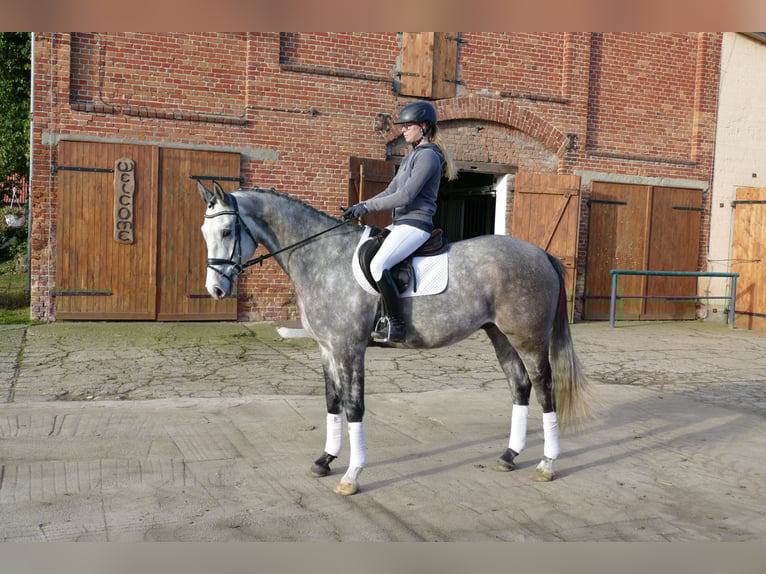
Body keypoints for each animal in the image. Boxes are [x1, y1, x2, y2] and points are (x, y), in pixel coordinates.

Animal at [198, 181, 588, 496]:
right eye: (205, 230)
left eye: (228, 231)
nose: (215, 290)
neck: (322, 257)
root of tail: (541, 254)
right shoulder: (327, 348)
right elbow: (332, 402)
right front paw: (324, 460)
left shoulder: (349, 349)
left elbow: (353, 406)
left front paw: (351, 475)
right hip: (500, 335)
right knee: (520, 386)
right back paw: (509, 456)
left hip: (528, 338)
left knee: (544, 388)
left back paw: (547, 464)